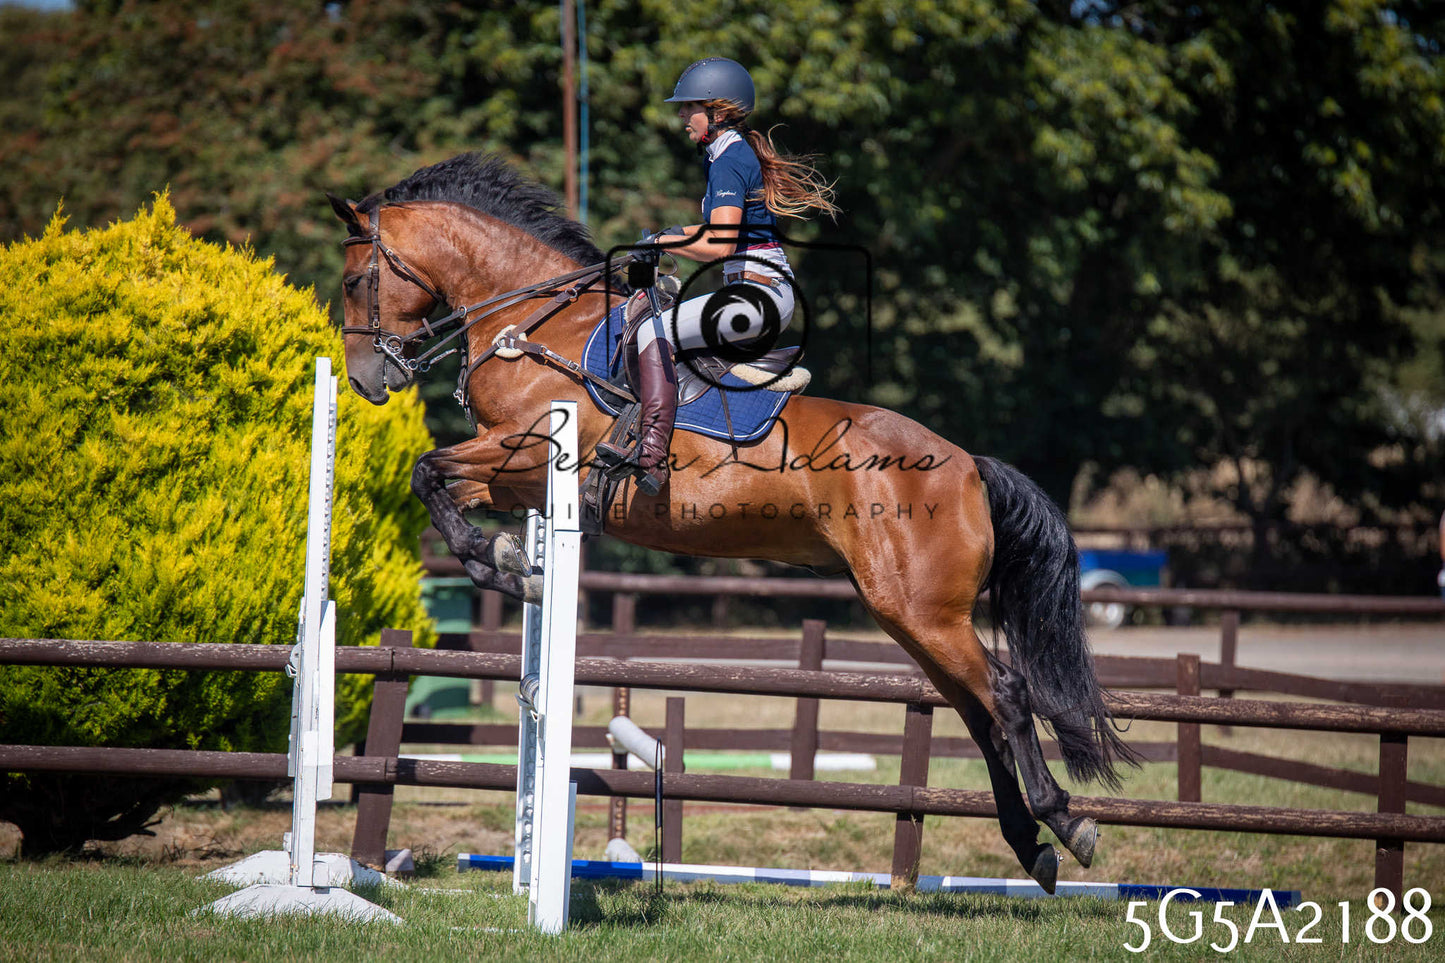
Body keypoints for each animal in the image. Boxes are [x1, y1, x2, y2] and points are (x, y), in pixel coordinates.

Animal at [327, 152, 1137, 893]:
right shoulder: (513, 471)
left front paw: (501, 561)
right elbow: (436, 481)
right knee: (979, 713)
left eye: (353, 281)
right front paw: (506, 562)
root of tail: (967, 463)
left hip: (921, 609)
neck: (531, 322)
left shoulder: (527, 450)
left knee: (1006, 695)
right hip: (912, 615)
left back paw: (1064, 821)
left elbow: (427, 471)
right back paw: (1031, 845)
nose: (366, 380)